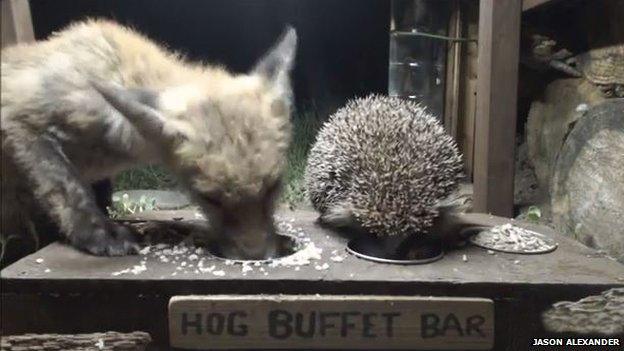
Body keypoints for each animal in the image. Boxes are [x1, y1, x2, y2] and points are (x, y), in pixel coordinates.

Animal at [0, 20, 298, 262]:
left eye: (273, 187)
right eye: (209, 198)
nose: (256, 256)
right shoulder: (23, 125)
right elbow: (70, 191)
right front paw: (101, 235)